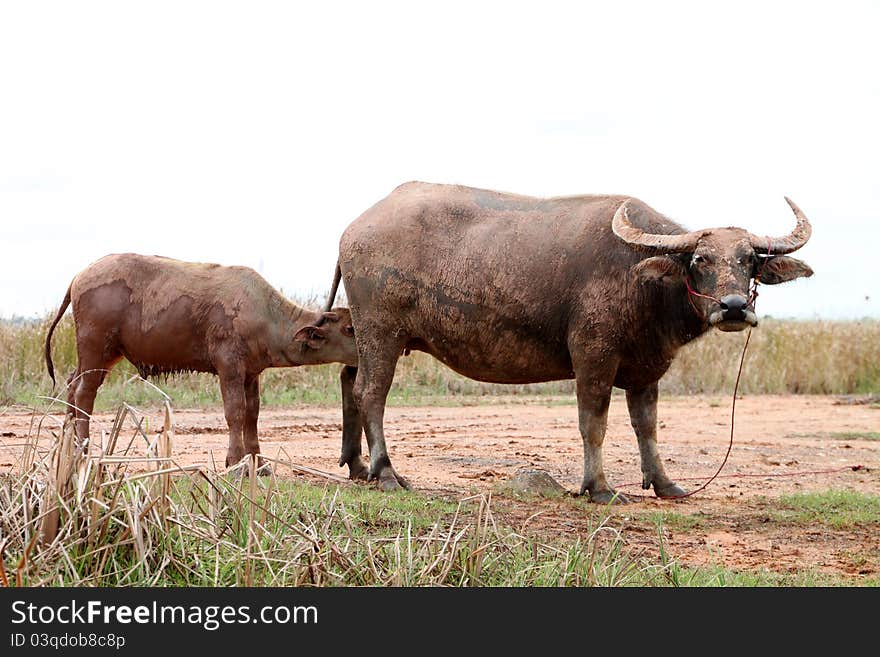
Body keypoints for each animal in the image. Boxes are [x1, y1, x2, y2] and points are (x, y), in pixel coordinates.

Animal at [326, 184, 816, 502]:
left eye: (749, 259)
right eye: (699, 259)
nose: (733, 307)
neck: (642, 282)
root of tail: (353, 229)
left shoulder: (647, 369)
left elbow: (647, 427)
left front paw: (664, 484)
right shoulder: (593, 358)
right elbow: (593, 424)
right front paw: (598, 487)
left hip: (363, 336)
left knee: (349, 380)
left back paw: (356, 467)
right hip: (381, 334)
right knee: (371, 393)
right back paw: (386, 473)